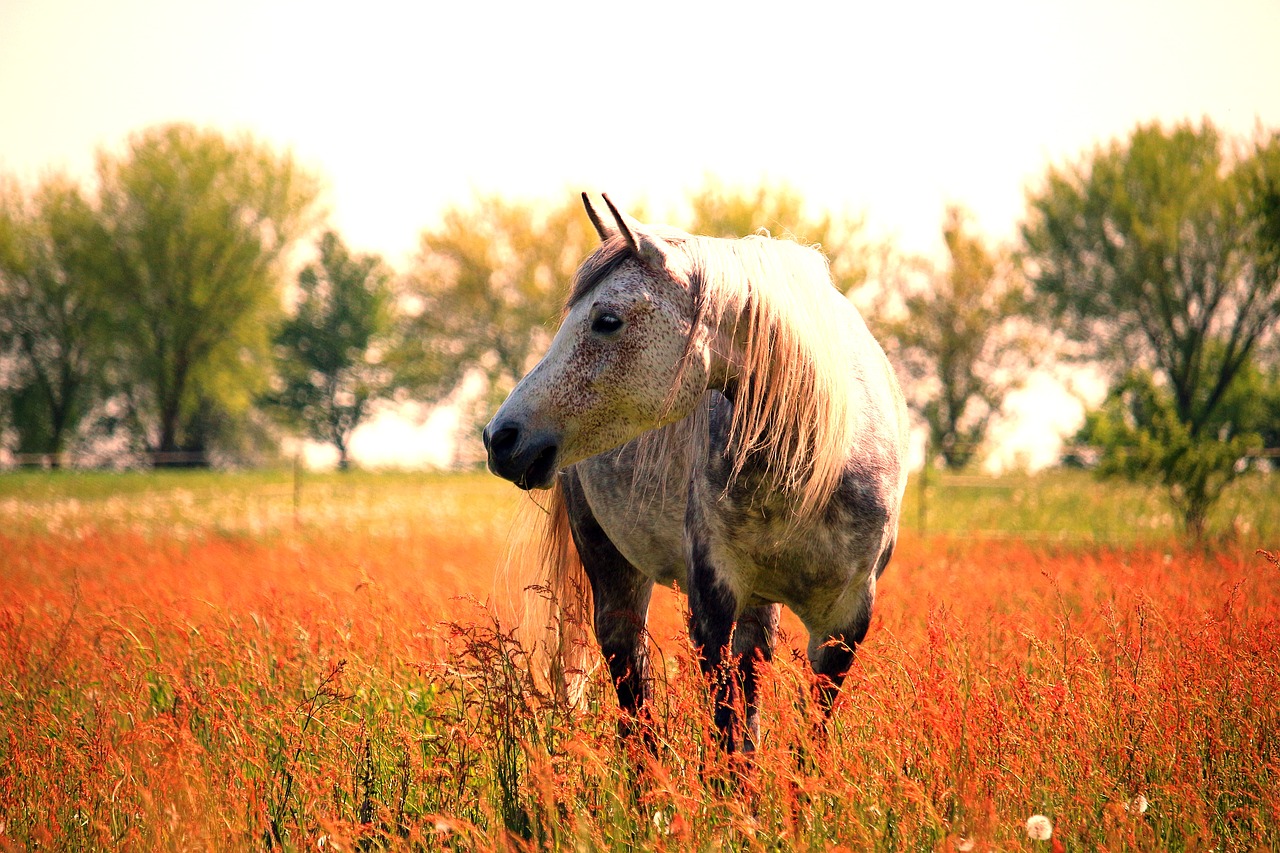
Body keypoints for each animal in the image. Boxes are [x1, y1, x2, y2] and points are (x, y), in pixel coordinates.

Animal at [481, 194, 911, 753]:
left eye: (607, 320)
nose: (500, 438)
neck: (820, 461)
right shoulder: (713, 603)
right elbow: (728, 740)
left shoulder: (844, 623)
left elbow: (802, 743)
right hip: (613, 572)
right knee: (634, 695)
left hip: (759, 607)